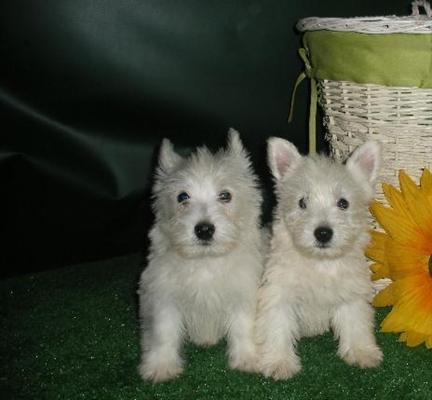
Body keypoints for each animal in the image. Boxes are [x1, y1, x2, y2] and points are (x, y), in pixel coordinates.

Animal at [138, 130, 264, 382]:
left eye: (225, 195)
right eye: (182, 197)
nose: (204, 229)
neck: (206, 261)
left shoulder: (243, 293)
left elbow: (243, 327)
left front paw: (247, 359)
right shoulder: (164, 296)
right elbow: (164, 331)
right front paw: (161, 366)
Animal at [255, 139, 384, 380]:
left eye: (343, 203)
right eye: (302, 202)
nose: (323, 233)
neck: (320, 262)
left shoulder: (351, 292)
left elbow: (355, 322)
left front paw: (362, 352)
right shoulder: (278, 292)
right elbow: (277, 326)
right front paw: (279, 362)